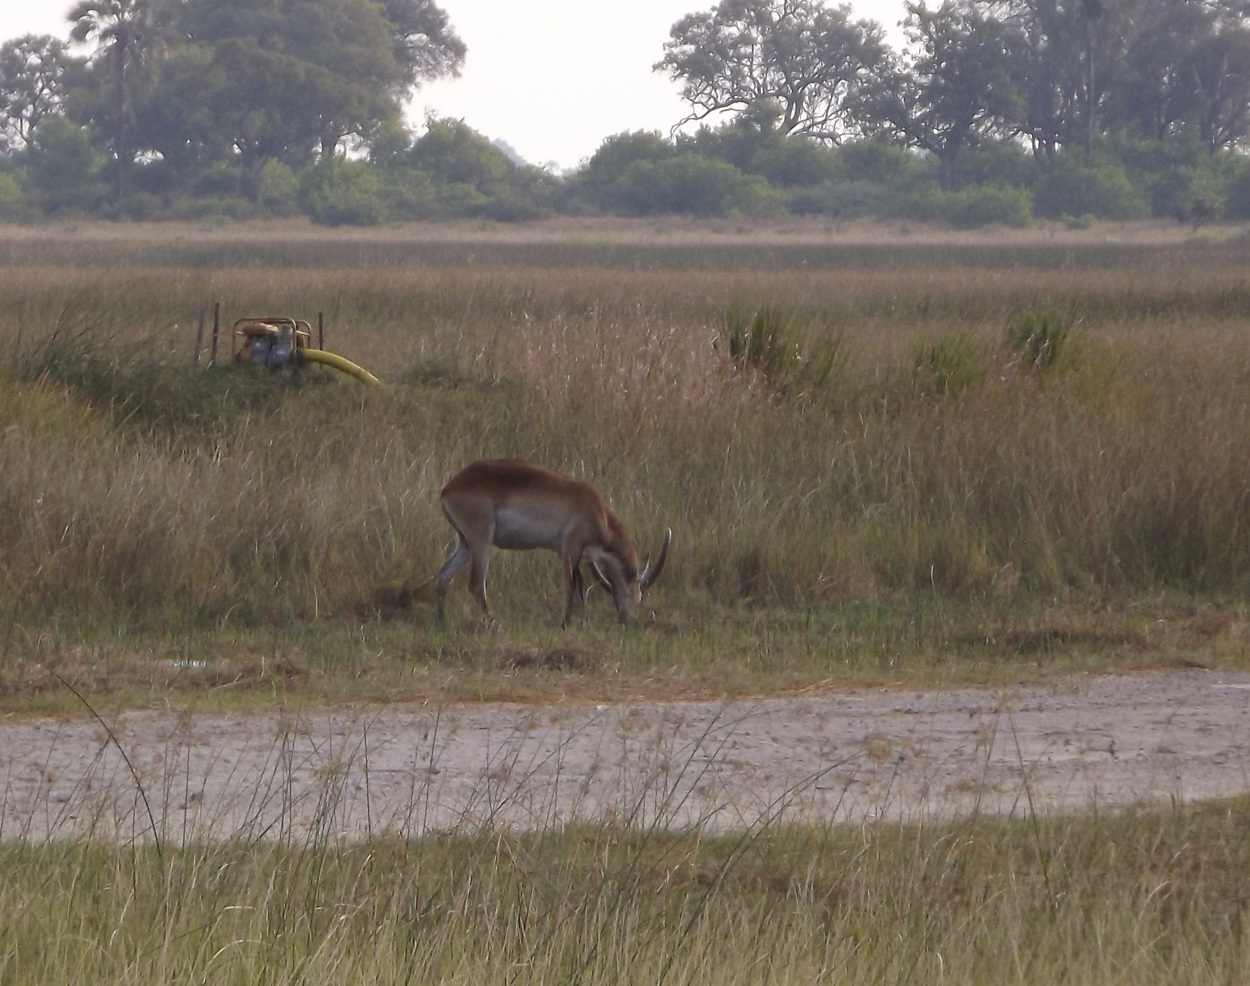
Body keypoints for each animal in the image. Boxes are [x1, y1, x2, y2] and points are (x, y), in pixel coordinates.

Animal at [440, 457, 675, 627]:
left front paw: (583, 623)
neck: (598, 511)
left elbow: (579, 585)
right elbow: (570, 585)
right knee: (476, 583)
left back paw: (438, 618)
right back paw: (494, 623)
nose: (627, 621)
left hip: (465, 544)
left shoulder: (571, 553)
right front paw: (565, 623)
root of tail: (448, 489)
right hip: (481, 541)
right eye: (640, 593)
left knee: (443, 576)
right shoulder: (571, 548)